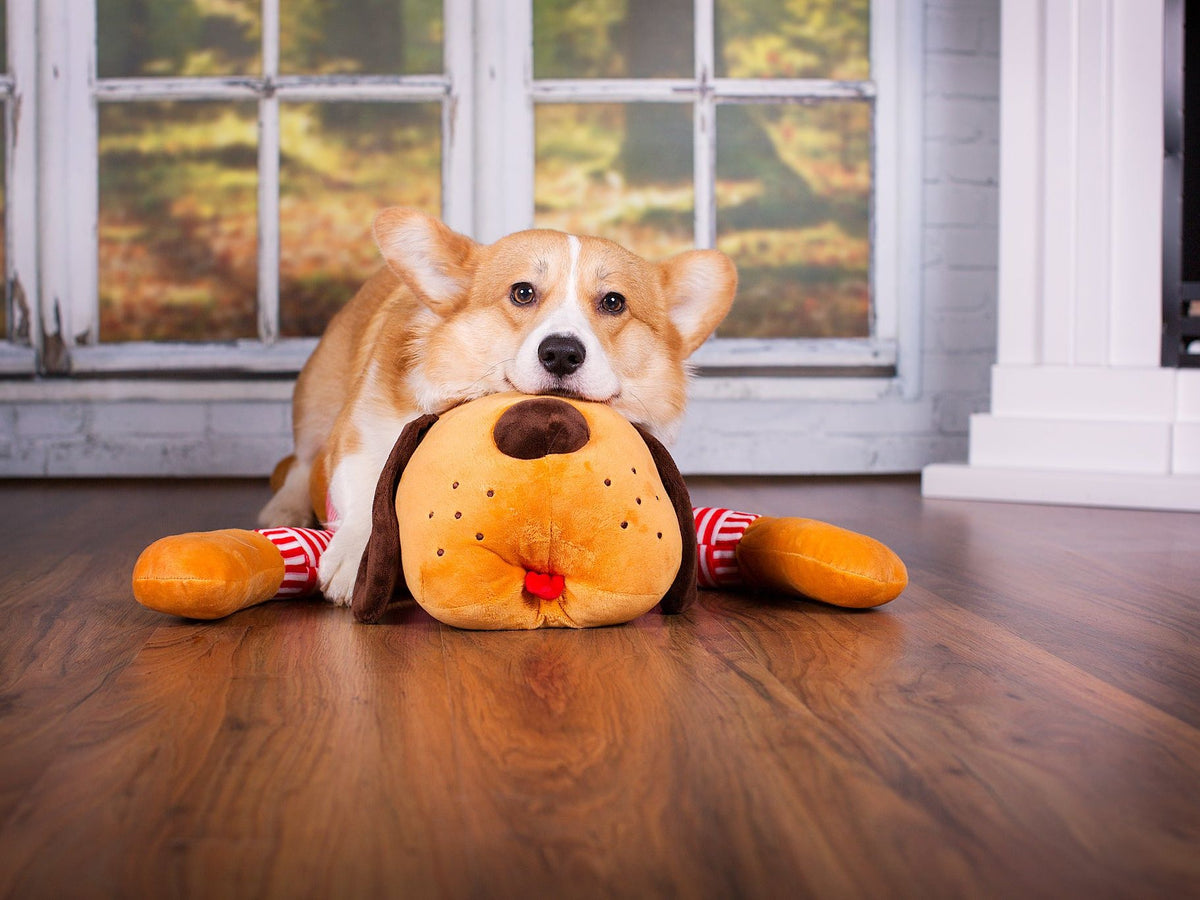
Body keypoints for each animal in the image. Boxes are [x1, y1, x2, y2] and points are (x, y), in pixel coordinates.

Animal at [258, 208, 734, 607]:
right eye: (522, 292)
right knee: (301, 465)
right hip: (316, 404)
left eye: (614, 301)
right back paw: (280, 511)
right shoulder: (360, 432)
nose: (562, 354)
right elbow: (367, 486)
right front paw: (354, 554)